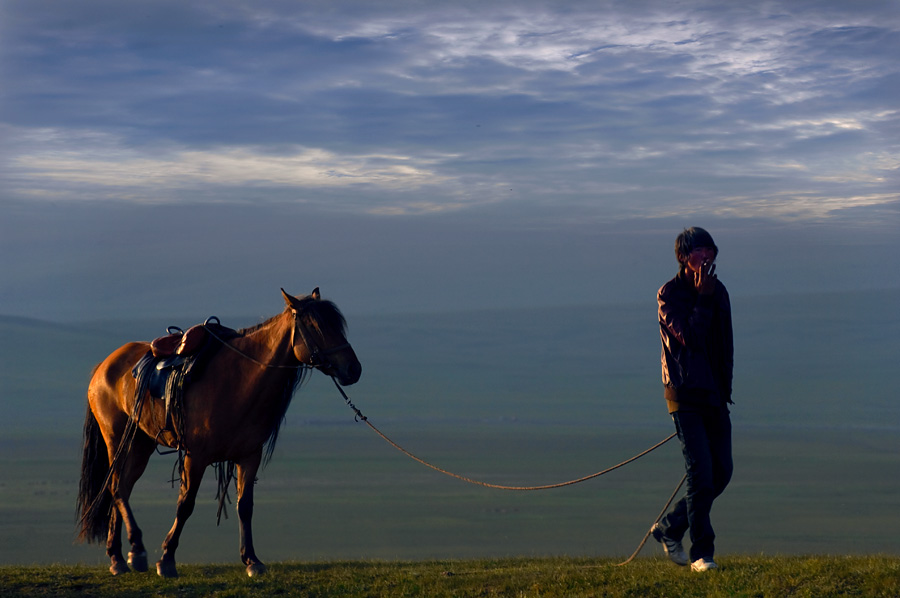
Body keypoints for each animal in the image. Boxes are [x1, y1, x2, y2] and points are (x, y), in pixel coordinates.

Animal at [75, 288, 360, 580]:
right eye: (316, 326)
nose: (354, 369)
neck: (240, 381)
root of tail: (104, 366)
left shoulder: (249, 456)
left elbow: (245, 506)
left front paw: (252, 560)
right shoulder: (196, 456)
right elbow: (185, 504)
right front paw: (166, 559)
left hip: (141, 443)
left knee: (122, 487)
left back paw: (120, 557)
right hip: (119, 439)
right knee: (117, 487)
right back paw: (136, 550)